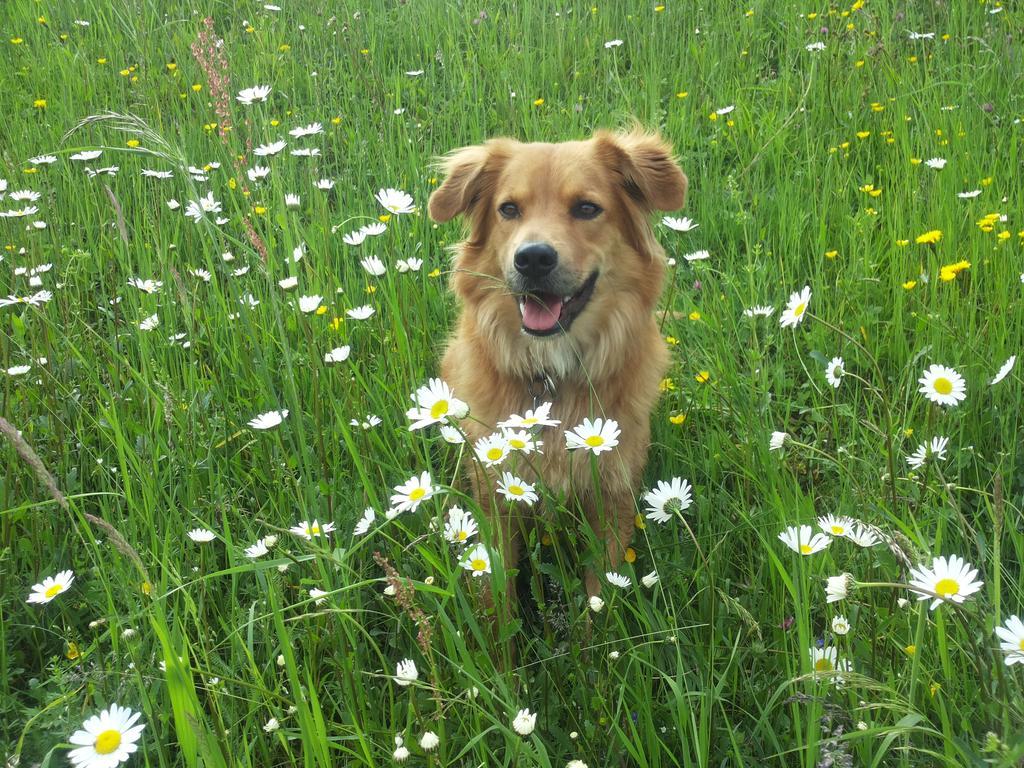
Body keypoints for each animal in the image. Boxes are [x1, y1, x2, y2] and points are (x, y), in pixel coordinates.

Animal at [425, 129, 688, 606]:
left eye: (586, 208)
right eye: (509, 209)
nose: (532, 258)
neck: (552, 376)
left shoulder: (613, 497)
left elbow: (601, 598)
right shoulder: (495, 496)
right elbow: (496, 596)